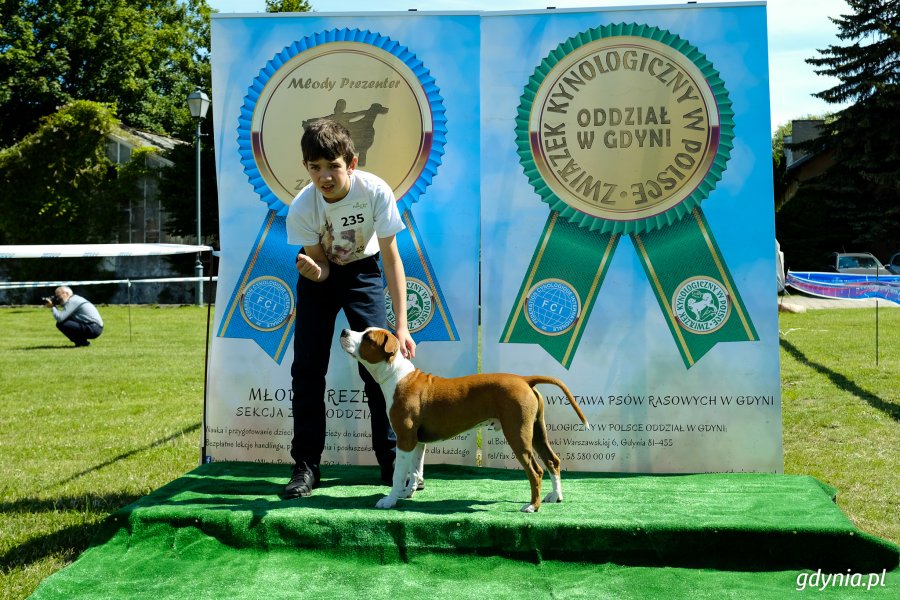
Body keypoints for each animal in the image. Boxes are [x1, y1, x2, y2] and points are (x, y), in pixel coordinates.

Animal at [340, 326, 592, 512]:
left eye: (368, 337)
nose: (343, 331)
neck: (397, 376)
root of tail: (524, 379)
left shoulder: (404, 439)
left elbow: (398, 473)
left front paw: (390, 499)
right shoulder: (417, 441)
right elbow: (415, 470)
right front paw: (407, 492)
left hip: (517, 433)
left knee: (536, 470)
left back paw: (532, 506)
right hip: (537, 431)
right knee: (553, 461)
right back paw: (555, 496)